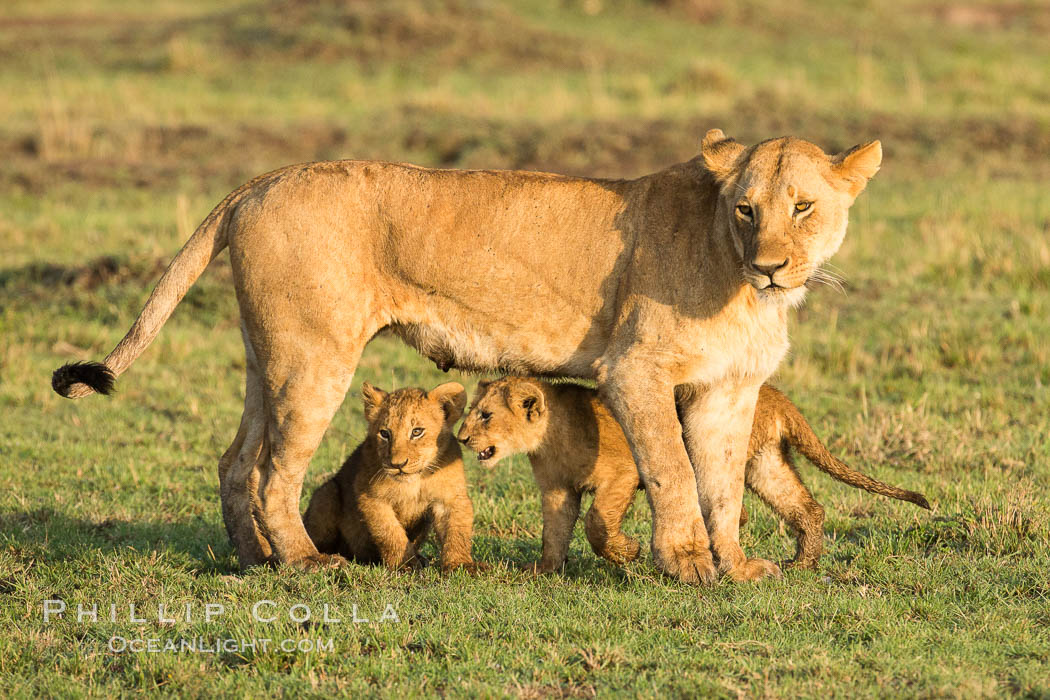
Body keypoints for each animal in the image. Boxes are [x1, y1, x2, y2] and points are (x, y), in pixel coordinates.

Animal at [53, 128, 881, 583]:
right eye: (746, 208)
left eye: (803, 207)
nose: (772, 265)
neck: (743, 285)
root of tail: (262, 180)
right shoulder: (633, 371)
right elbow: (674, 472)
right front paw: (685, 564)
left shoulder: (727, 389)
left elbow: (723, 485)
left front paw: (735, 565)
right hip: (314, 356)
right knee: (274, 470)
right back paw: (303, 561)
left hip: (269, 357)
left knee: (234, 459)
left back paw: (253, 560)